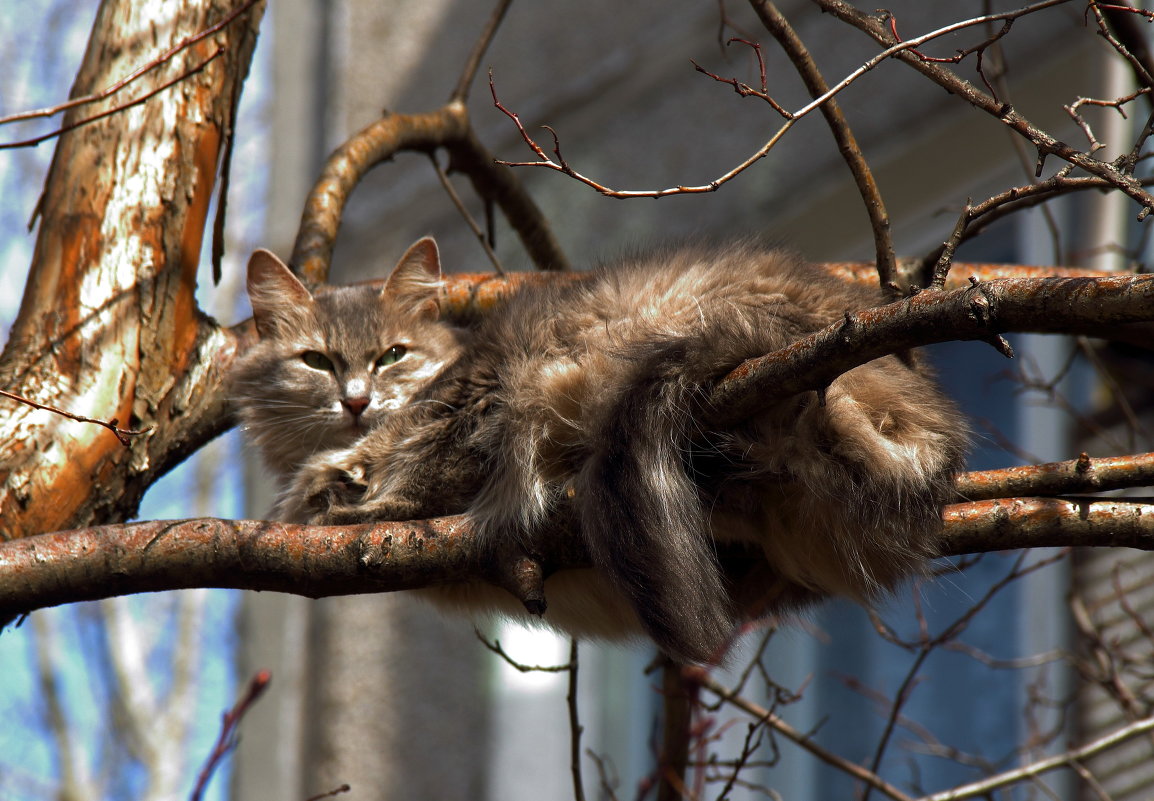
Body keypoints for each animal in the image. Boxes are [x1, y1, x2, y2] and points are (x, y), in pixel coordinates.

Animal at [231, 238, 964, 664]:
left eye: (392, 356)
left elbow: (420, 473)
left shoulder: (475, 401)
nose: (357, 400)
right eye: (317, 361)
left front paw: (359, 501)